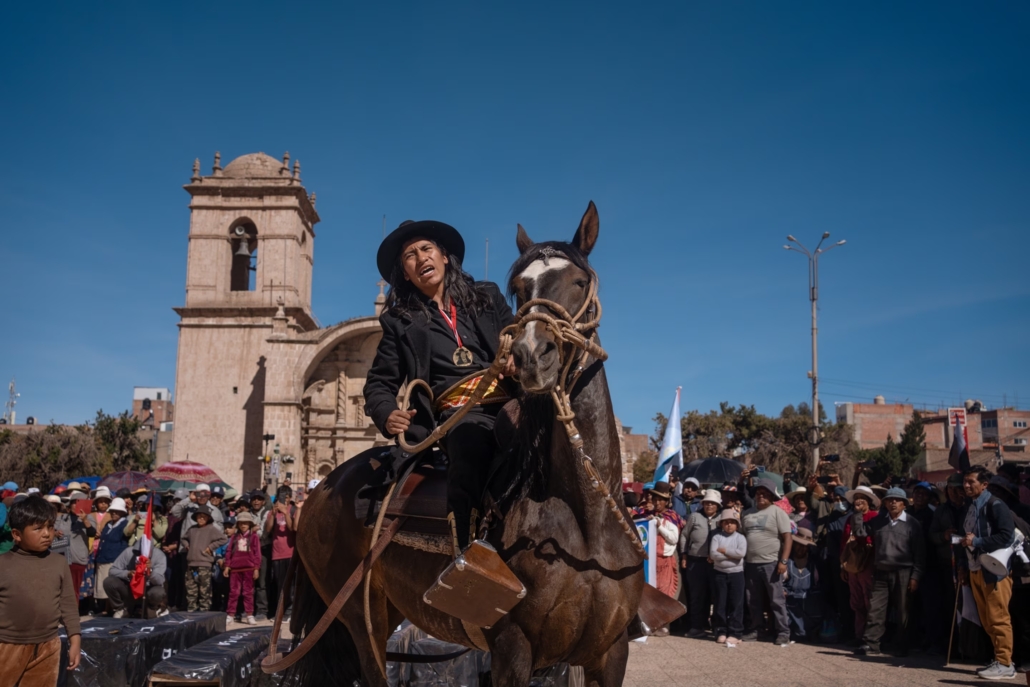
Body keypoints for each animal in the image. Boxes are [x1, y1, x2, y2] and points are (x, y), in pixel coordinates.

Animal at [284, 202, 642, 687]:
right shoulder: (513, 650)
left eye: (580, 281)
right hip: (359, 616)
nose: (532, 356)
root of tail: (321, 490)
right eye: (518, 288)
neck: (585, 519)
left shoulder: (611, 653)